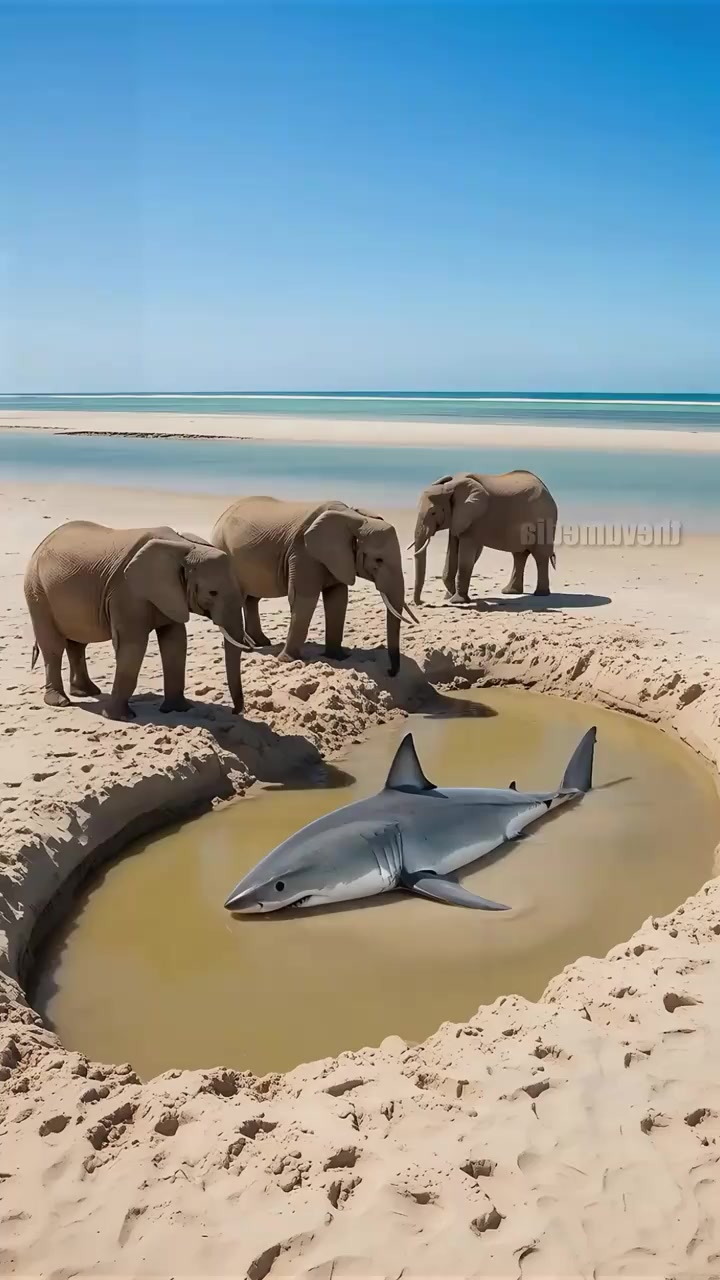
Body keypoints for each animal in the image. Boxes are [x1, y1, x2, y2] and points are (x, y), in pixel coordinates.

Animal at [24, 521, 251, 720]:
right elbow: (133, 644)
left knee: (77, 643)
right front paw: (120, 718)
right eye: (213, 593)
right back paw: (60, 701)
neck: (185, 546)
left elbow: (175, 641)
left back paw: (87, 693)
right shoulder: (127, 592)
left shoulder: (169, 593)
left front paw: (178, 710)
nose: (235, 711)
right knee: (53, 646)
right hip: (37, 592)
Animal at [211, 497, 418, 711]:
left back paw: (261, 643)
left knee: (252, 599)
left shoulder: (336, 559)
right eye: (378, 560)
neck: (353, 517)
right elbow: (303, 599)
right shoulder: (303, 553)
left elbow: (338, 599)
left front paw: (338, 657)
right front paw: (288, 660)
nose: (390, 671)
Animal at [411, 470, 557, 605]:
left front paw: (457, 601)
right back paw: (510, 592)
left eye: (433, 512)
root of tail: (546, 489)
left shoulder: (473, 519)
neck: (451, 487)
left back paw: (541, 593)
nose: (422, 602)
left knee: (540, 556)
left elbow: (466, 557)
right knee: (519, 555)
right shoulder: (457, 519)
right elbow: (452, 553)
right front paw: (449, 597)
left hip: (544, 520)